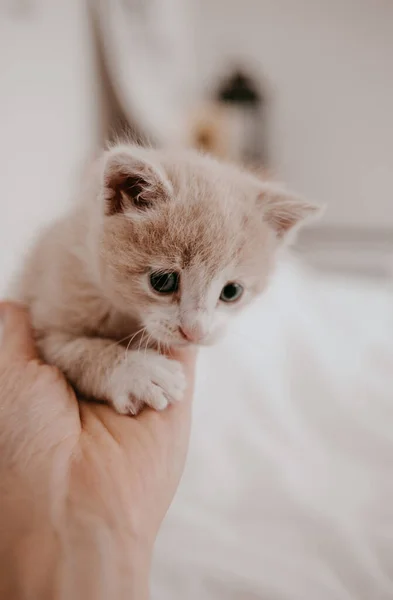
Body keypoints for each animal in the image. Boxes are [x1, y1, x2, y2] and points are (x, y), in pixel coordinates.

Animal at [13, 145, 316, 414]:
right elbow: (79, 351)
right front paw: (134, 371)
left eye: (231, 292)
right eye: (163, 282)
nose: (195, 332)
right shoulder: (47, 319)